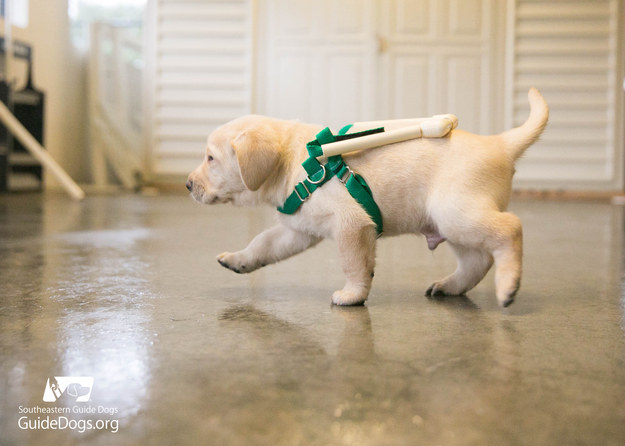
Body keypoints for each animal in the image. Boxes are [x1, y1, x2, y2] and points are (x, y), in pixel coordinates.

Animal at [185, 89, 544, 308]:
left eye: (211, 158)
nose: (188, 184)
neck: (293, 161)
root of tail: (499, 144)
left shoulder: (352, 225)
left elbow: (354, 264)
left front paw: (352, 295)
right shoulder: (297, 230)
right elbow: (263, 244)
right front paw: (239, 259)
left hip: (457, 214)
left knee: (511, 228)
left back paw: (508, 285)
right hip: (452, 224)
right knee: (476, 261)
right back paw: (450, 286)